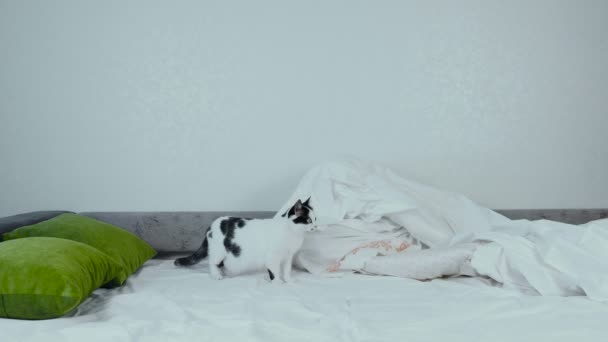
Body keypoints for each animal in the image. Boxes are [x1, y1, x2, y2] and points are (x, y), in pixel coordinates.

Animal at [173, 199, 316, 282]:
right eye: (308, 220)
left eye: (315, 219)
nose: (316, 226)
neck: (292, 232)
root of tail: (211, 225)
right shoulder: (272, 257)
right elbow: (274, 273)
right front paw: (277, 284)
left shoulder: (287, 257)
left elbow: (286, 270)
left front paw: (288, 281)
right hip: (218, 251)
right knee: (213, 262)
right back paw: (217, 275)